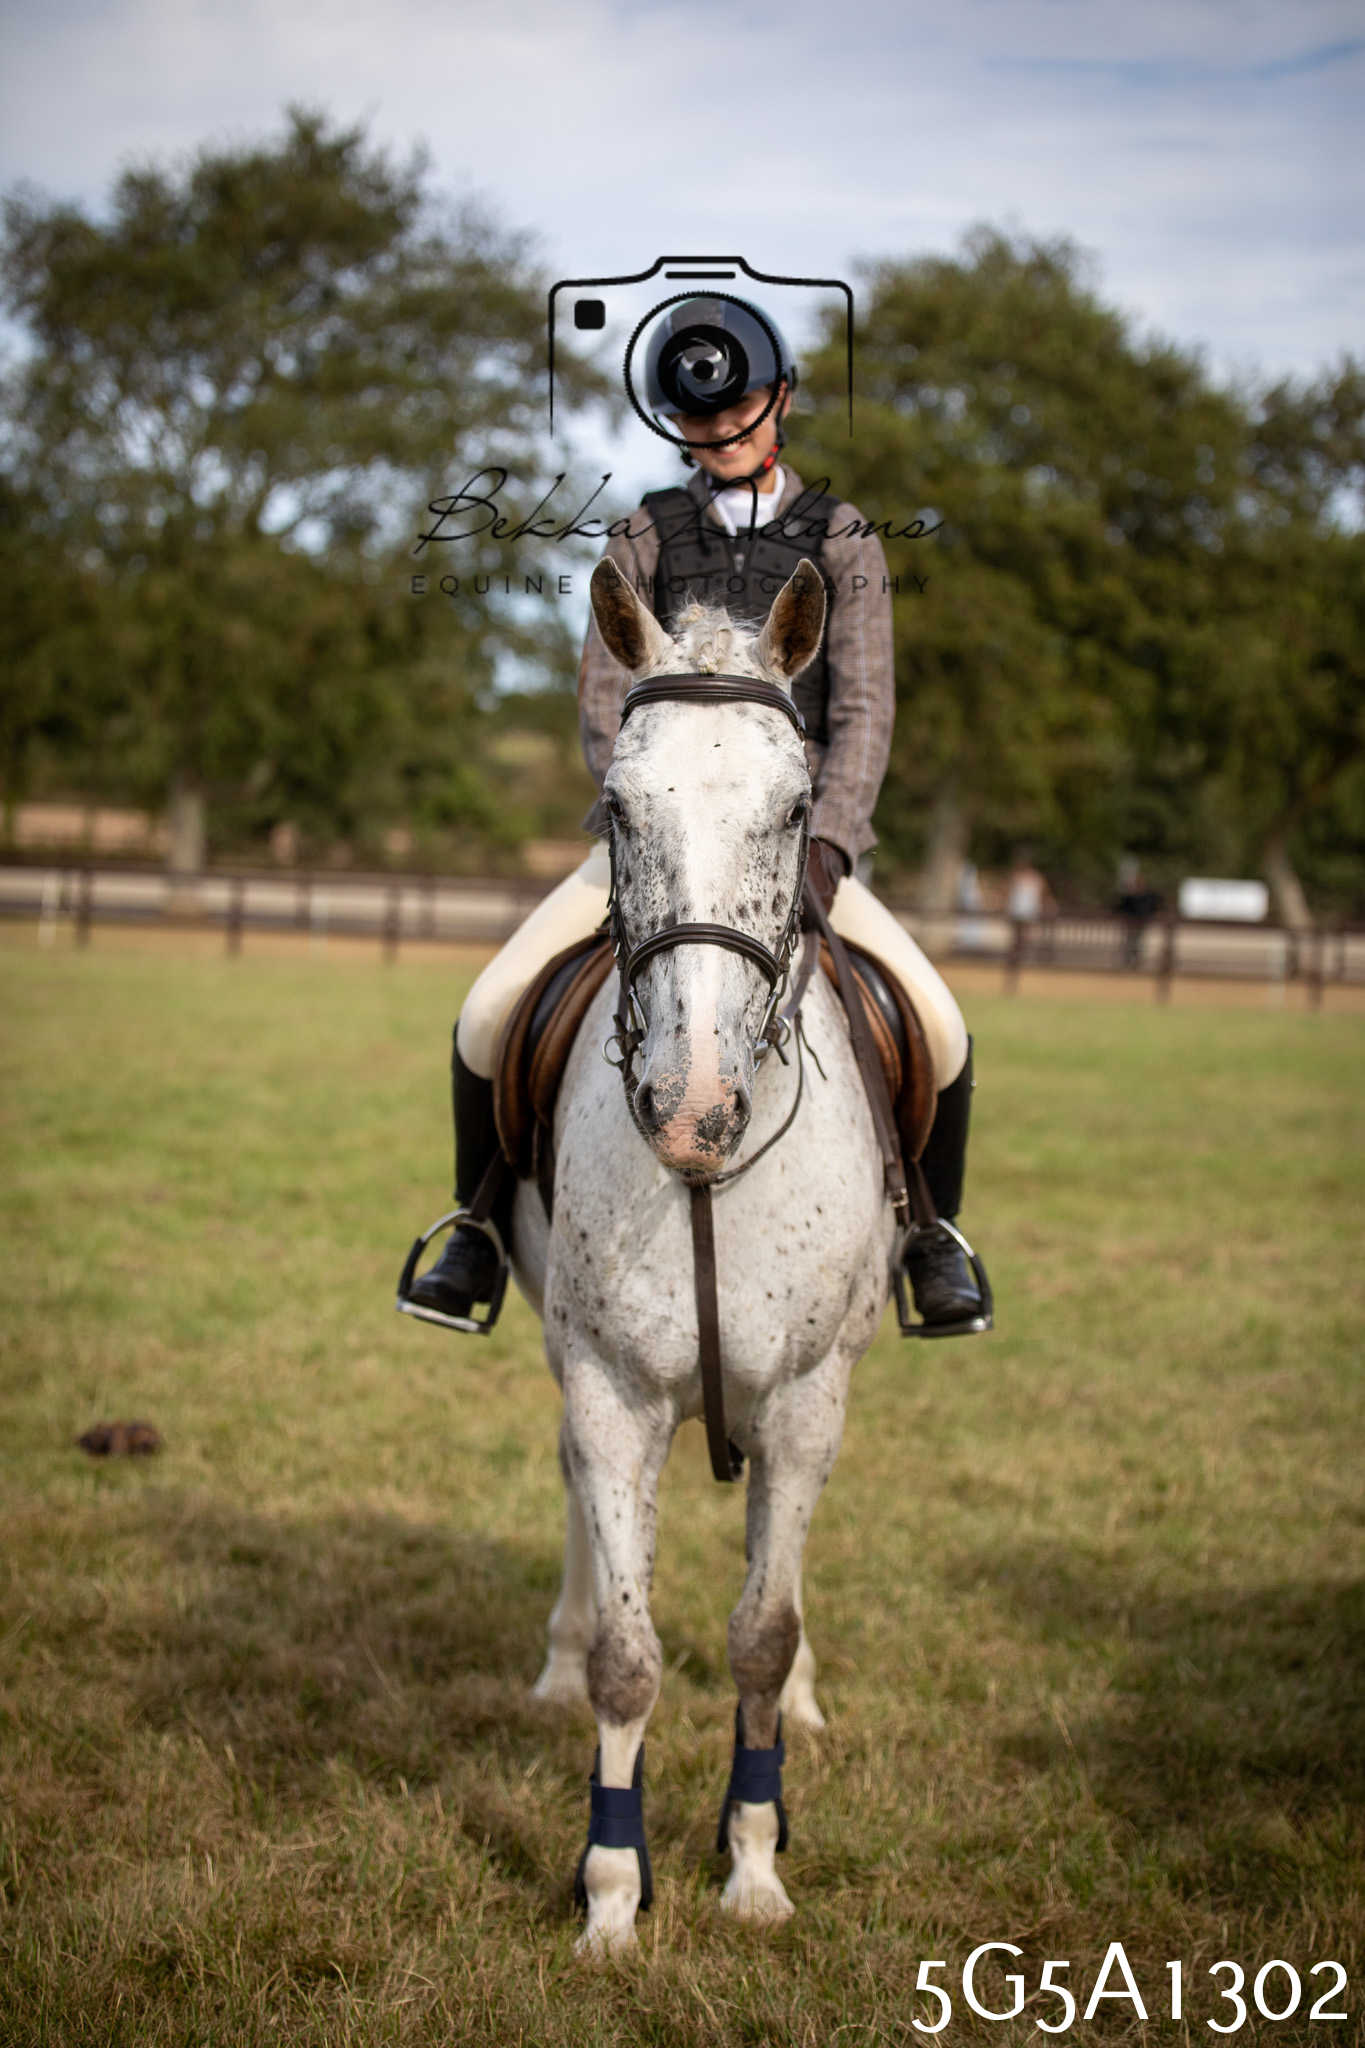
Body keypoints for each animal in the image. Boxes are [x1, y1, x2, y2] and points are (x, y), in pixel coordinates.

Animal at [510, 555, 895, 1954]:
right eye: (620, 807)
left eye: (794, 810)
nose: (691, 1109)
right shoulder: (612, 1388)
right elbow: (631, 1657)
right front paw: (613, 1893)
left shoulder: (807, 1399)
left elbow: (761, 1638)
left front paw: (754, 1865)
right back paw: (555, 1659)